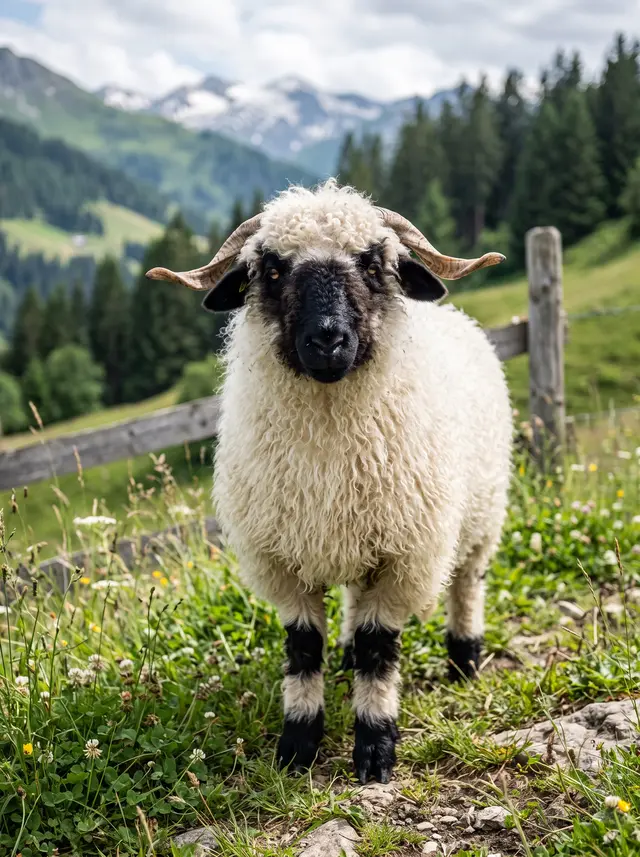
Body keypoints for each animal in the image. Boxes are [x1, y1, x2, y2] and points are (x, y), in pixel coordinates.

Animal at [147, 180, 512, 784]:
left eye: (373, 264)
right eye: (272, 269)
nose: (327, 340)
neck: (329, 453)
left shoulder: (403, 557)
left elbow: (378, 646)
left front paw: (375, 748)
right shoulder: (284, 558)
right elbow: (303, 647)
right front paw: (297, 745)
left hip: (479, 517)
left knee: (466, 583)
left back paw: (464, 660)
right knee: (352, 600)